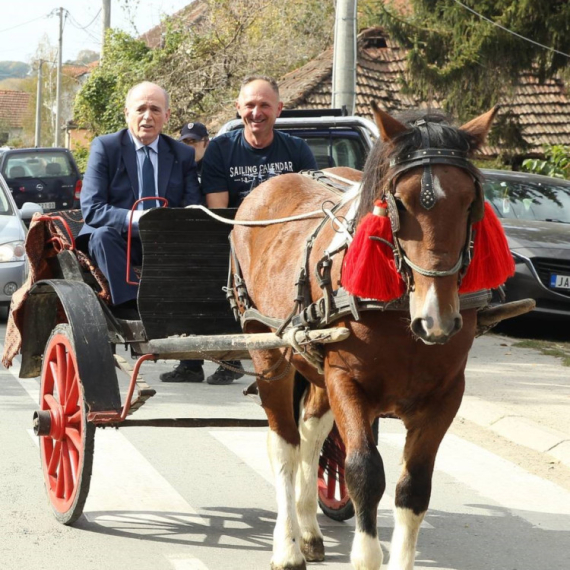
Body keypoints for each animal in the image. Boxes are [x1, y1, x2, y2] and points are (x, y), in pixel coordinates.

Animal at [231, 103, 496, 568]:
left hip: (314, 365)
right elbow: (364, 473)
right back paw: (287, 545)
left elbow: (414, 487)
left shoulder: (445, 397)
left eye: (471, 202)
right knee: (285, 445)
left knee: (311, 437)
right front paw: (366, 555)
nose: (437, 319)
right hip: (269, 354)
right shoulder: (347, 381)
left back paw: (309, 530)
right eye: (399, 203)